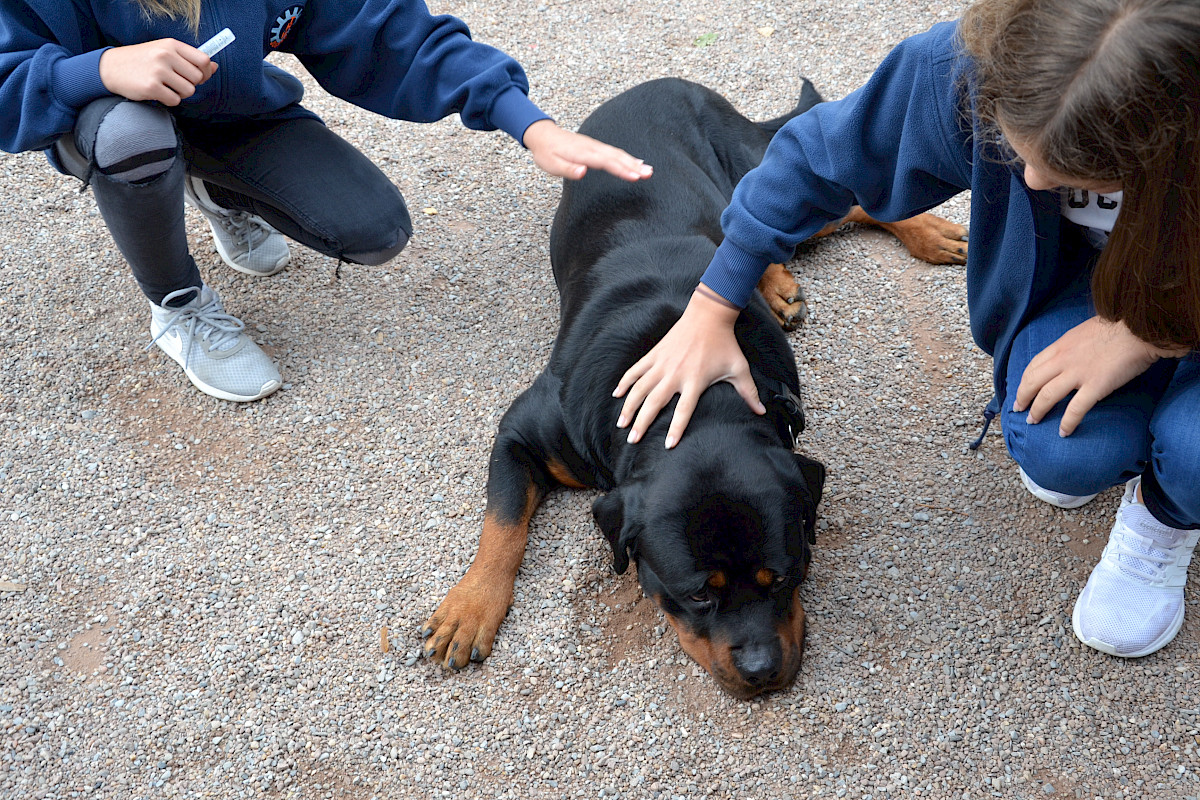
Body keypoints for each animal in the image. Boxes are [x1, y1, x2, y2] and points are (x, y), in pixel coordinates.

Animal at [422, 76, 964, 700]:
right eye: (698, 593)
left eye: (785, 576)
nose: (761, 671)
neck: (693, 404)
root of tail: (667, 81)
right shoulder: (524, 431)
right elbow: (503, 520)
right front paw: (468, 608)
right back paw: (778, 285)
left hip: (755, 175)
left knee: (828, 203)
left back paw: (927, 233)